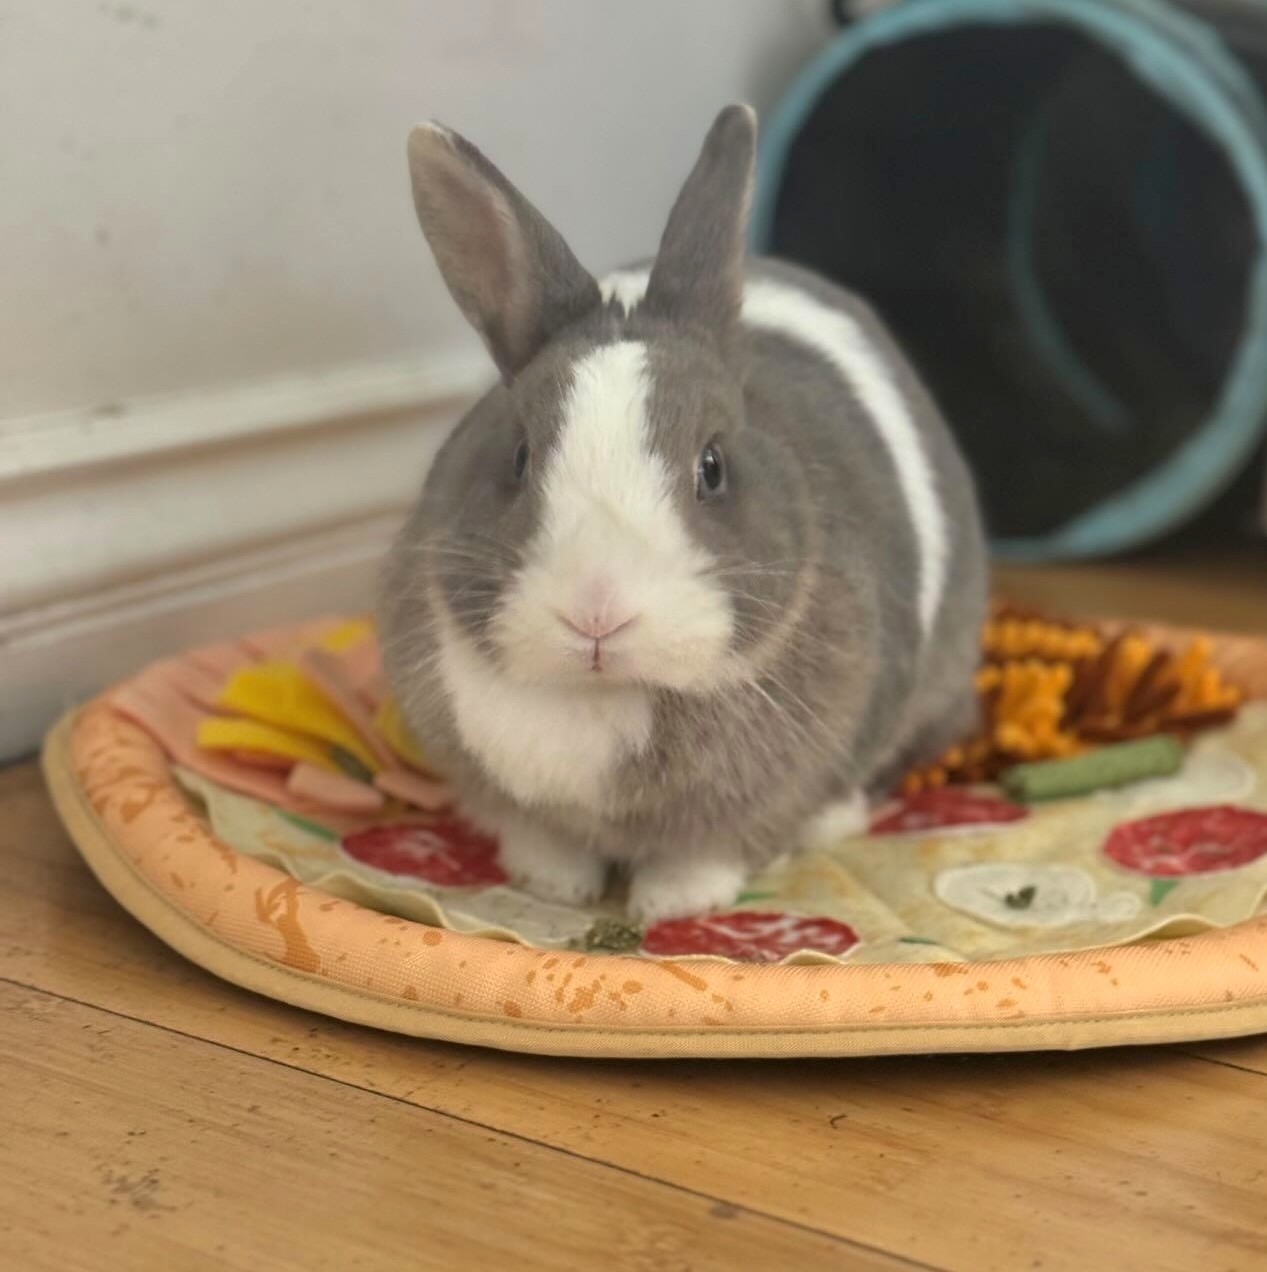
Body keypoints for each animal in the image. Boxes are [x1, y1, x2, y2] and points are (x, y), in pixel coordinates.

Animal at [380, 104, 988, 924]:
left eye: (713, 467)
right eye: (518, 456)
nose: (596, 614)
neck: (604, 696)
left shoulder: (756, 799)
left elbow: (709, 850)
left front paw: (670, 908)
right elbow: (541, 839)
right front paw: (553, 886)